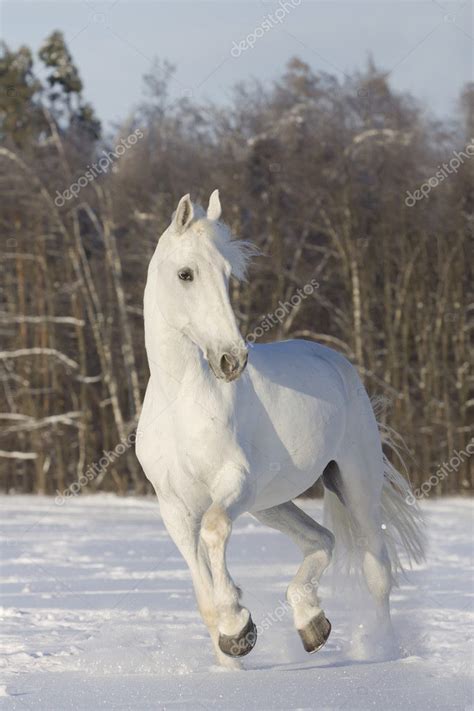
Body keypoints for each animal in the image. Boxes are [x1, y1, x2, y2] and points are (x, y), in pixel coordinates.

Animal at [135, 192, 424, 672]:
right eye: (185, 274)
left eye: (227, 275)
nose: (232, 360)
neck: (181, 404)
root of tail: (335, 361)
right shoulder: (174, 508)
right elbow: (203, 593)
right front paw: (232, 654)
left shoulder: (234, 483)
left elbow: (215, 530)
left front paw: (238, 624)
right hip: (270, 503)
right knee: (321, 540)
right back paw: (312, 624)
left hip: (354, 483)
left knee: (376, 572)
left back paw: (379, 652)